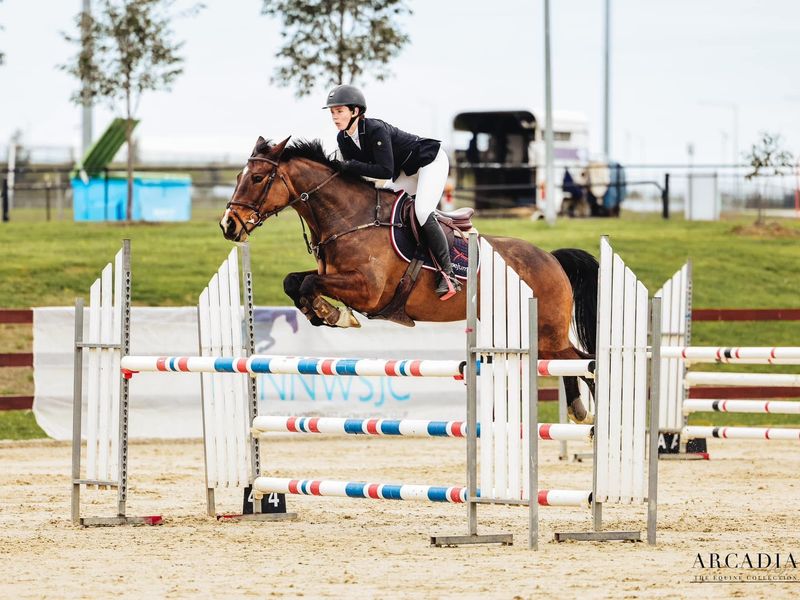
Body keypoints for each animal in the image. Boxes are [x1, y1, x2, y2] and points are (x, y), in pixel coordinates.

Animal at [220, 136, 599, 424]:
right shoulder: (335, 277)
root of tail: (551, 258)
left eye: (257, 178)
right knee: (569, 363)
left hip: (546, 331)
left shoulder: (368, 290)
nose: (228, 225)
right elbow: (294, 282)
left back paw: (591, 420)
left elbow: (309, 285)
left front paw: (333, 315)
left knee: (583, 359)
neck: (349, 218)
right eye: (238, 176)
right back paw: (579, 411)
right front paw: (323, 313)